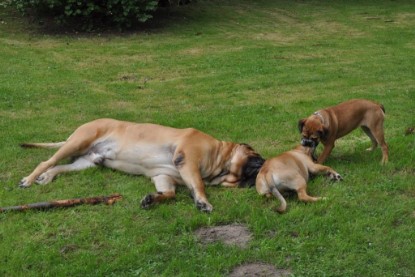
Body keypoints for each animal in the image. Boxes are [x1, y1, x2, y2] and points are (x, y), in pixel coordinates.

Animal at [17, 118, 264, 211]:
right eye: (256, 155)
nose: (262, 163)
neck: (219, 158)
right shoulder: (188, 160)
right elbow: (198, 185)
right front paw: (203, 201)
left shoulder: (163, 176)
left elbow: (170, 193)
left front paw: (152, 198)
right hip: (79, 141)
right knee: (46, 161)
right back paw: (29, 179)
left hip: (87, 161)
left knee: (58, 166)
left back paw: (47, 177)